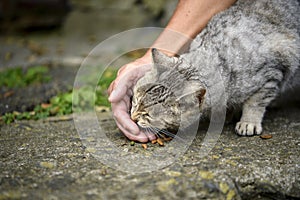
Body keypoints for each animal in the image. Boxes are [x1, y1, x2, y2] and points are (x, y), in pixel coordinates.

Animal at [130, 0, 298, 137]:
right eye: (136, 102)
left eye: (147, 115)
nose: (132, 117)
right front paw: (229, 113)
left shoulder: (273, 71)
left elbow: (255, 102)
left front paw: (248, 121)